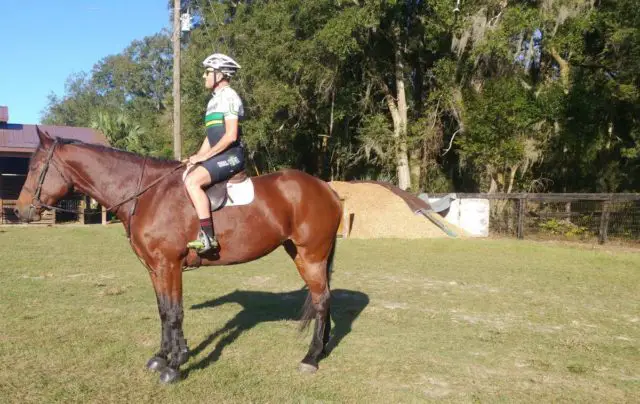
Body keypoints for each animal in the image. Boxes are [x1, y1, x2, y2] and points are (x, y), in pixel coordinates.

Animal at [13, 128, 340, 384]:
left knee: (322, 300)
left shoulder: (168, 264)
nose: (19, 211)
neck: (148, 195)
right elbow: (164, 310)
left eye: (37, 167)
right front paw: (165, 355)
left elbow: (174, 312)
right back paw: (322, 348)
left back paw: (311, 358)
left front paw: (174, 365)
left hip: (311, 255)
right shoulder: (155, 268)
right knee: (324, 297)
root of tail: (327, 189)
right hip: (300, 253)